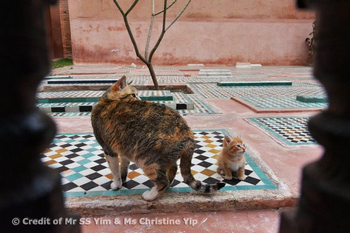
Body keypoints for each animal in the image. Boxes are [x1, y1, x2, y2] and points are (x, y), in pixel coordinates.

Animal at [91, 77, 226, 201]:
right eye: (134, 95)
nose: (140, 99)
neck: (107, 101)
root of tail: (189, 136)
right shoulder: (123, 148)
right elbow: (123, 167)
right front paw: (123, 180)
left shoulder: (108, 149)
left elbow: (114, 170)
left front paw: (116, 184)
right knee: (173, 169)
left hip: (146, 160)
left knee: (162, 181)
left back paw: (150, 195)